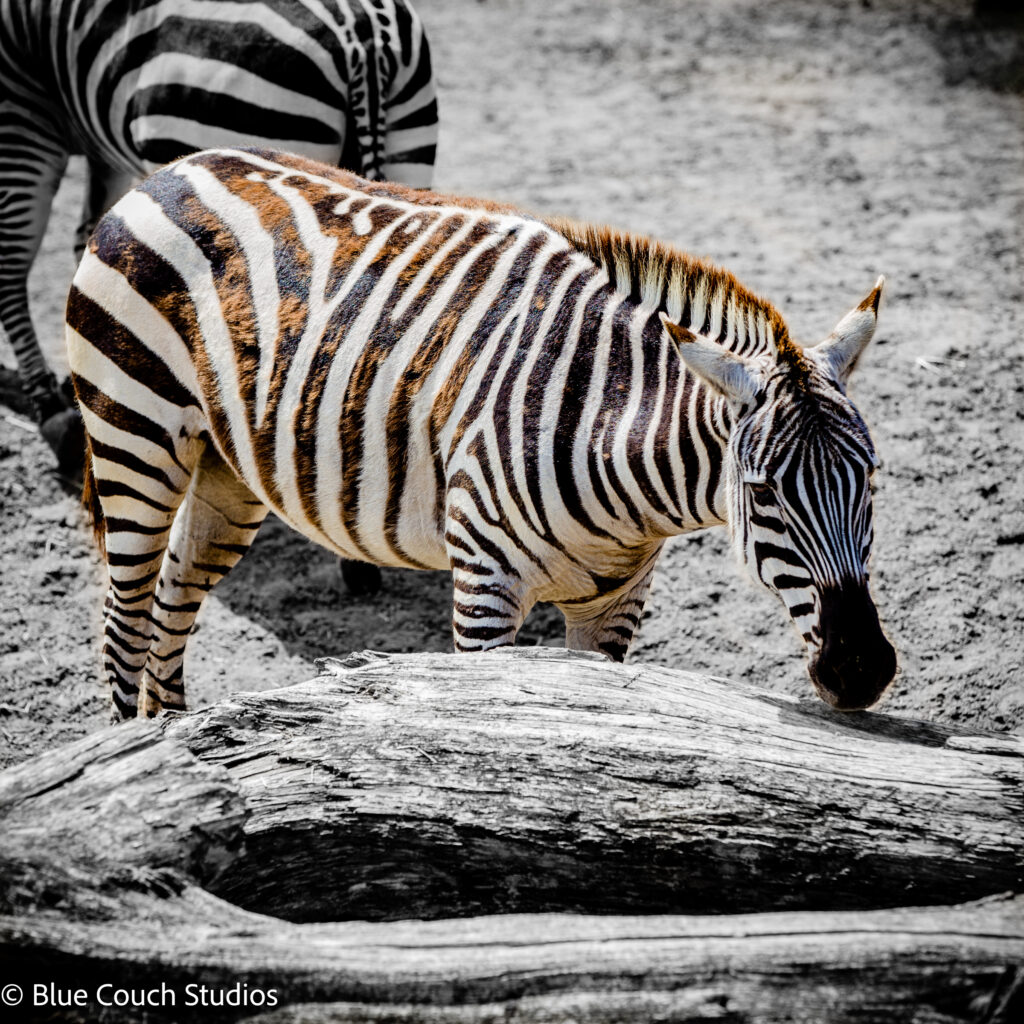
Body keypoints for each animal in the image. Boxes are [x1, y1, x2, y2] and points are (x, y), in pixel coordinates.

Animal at [0, 0, 438, 473]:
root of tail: (360, 30)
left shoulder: (24, 109)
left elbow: (13, 257)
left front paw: (54, 409)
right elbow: (87, 233)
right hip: (406, 150)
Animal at [67, 146, 897, 720]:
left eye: (871, 481)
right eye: (762, 494)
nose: (862, 671)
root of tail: (167, 171)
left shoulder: (616, 603)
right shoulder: (484, 587)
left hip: (227, 470)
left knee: (171, 601)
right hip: (135, 434)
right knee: (123, 617)